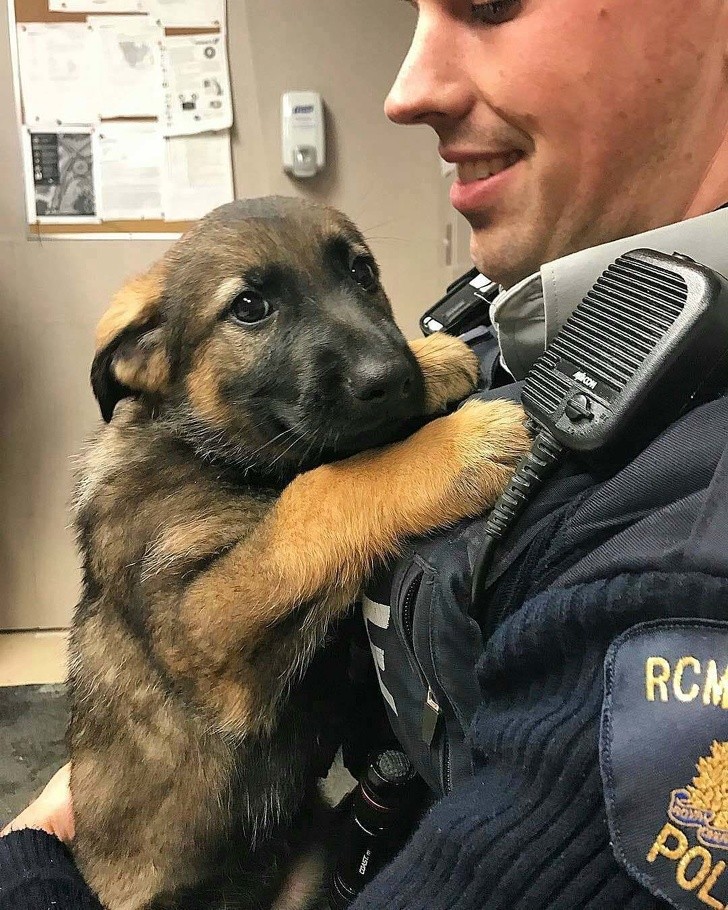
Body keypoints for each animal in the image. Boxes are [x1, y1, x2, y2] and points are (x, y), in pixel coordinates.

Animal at [69, 196, 528, 908]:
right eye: (249, 307)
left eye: (361, 272)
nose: (390, 376)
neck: (200, 447)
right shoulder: (202, 629)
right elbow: (322, 489)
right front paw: (459, 447)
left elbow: (335, 458)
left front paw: (433, 361)